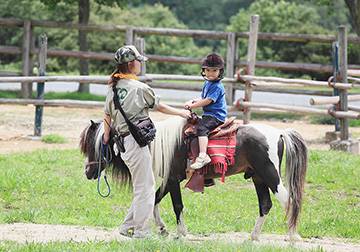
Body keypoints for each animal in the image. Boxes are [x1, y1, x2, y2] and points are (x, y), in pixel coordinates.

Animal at [80, 116, 308, 242]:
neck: (159, 142)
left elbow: (176, 205)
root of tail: (280, 132)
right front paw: (162, 228)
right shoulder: (170, 179)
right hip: (258, 177)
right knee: (265, 204)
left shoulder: (173, 179)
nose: (88, 173)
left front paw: (180, 232)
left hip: (270, 175)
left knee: (288, 201)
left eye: (95, 145)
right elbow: (155, 200)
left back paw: (293, 236)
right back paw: (254, 236)